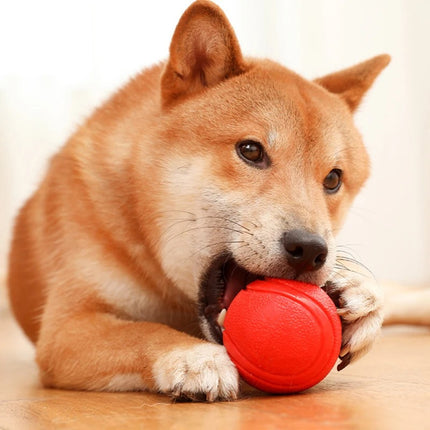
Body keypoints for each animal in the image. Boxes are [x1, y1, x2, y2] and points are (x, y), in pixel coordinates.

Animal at [6, 1, 390, 402]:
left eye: (333, 179)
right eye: (250, 151)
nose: (310, 249)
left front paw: (359, 293)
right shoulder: (66, 328)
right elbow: (143, 331)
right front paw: (192, 357)